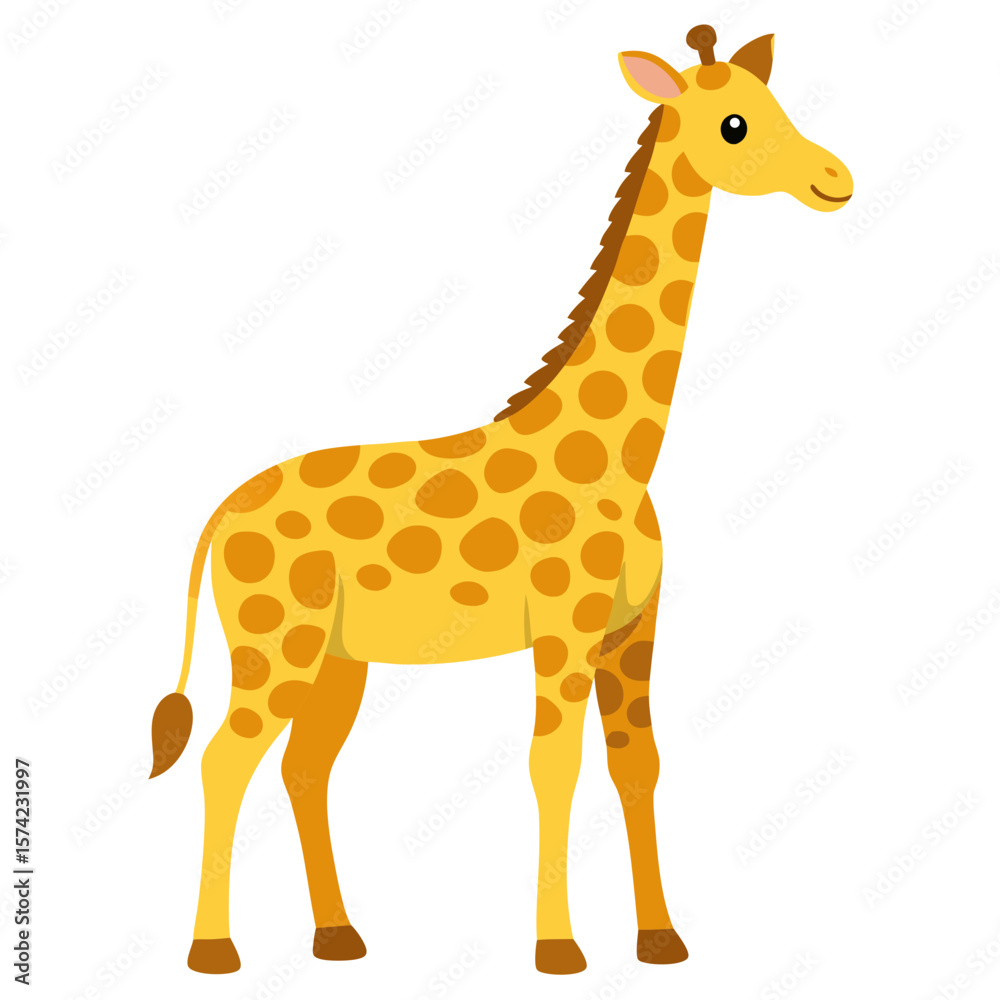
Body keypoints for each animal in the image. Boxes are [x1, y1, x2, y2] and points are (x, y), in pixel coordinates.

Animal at [149, 25, 852, 976]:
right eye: (734, 123)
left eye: (775, 101)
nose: (835, 178)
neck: (623, 456)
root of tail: (218, 516)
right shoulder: (562, 630)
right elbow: (552, 768)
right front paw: (558, 949)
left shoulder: (632, 632)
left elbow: (637, 766)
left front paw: (661, 940)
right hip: (274, 644)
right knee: (226, 760)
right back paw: (213, 951)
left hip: (336, 657)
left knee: (304, 767)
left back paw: (339, 937)